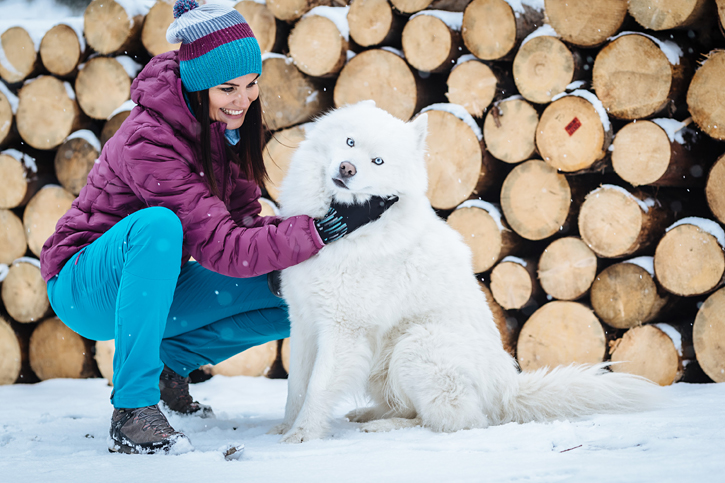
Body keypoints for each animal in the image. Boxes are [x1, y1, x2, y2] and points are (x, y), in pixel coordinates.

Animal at [270, 103, 656, 446]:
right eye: (350, 142)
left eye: (377, 161)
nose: (347, 168)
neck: (343, 226)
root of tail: (508, 391)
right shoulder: (303, 322)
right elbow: (296, 385)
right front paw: (285, 427)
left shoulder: (343, 330)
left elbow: (318, 387)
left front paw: (302, 434)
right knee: (418, 410)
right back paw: (370, 414)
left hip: (416, 345)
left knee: (453, 421)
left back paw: (384, 426)